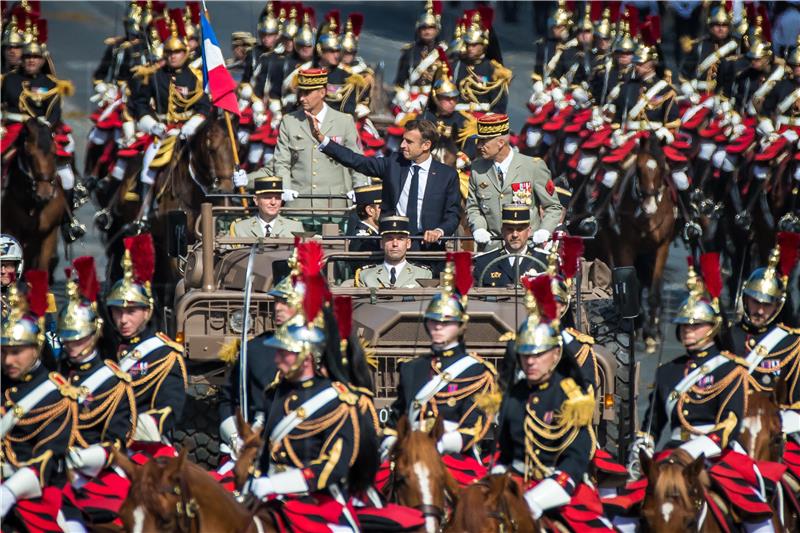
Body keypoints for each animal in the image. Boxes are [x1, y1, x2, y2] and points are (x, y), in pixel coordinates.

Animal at [0, 117, 66, 274]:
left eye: (55, 154)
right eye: (29, 155)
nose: (45, 193)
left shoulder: (49, 233)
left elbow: (41, 268)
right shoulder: (11, 230)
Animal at [600, 133, 676, 350]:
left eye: (663, 168)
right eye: (639, 169)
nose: (649, 207)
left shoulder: (662, 246)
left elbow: (654, 290)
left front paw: (652, 333)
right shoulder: (624, 247)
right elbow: (628, 283)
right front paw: (635, 323)